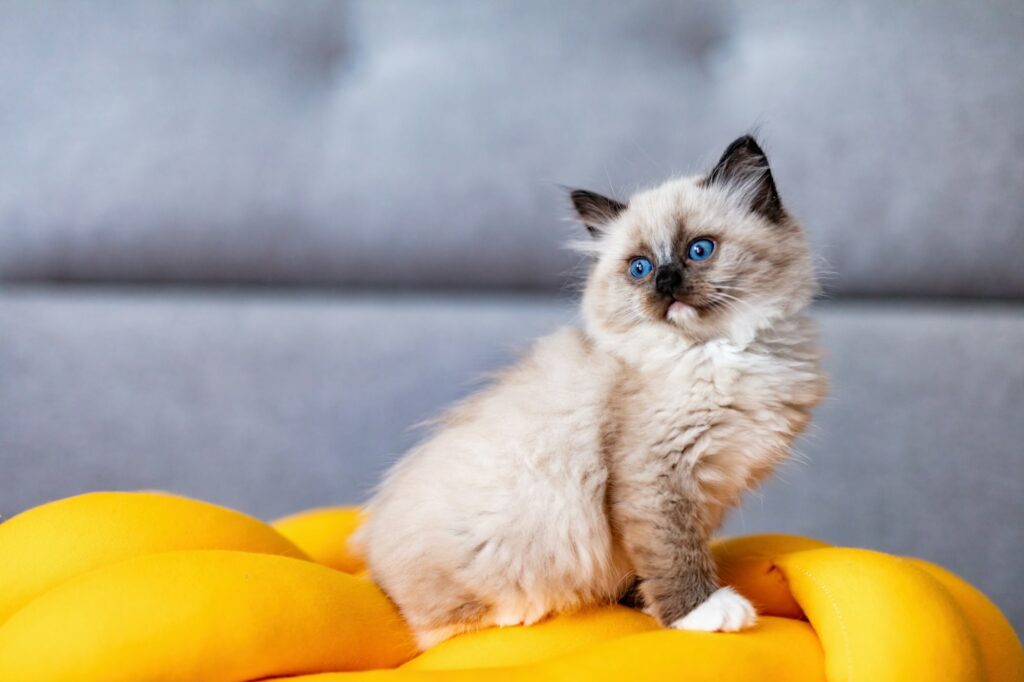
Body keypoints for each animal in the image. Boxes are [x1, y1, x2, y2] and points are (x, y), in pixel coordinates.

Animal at [352, 134, 823, 647]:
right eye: (640, 267)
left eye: (699, 251)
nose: (665, 282)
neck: (717, 351)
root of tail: (371, 563)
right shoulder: (656, 475)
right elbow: (673, 554)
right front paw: (701, 612)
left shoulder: (710, 491)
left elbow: (654, 562)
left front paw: (642, 605)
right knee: (440, 626)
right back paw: (522, 611)